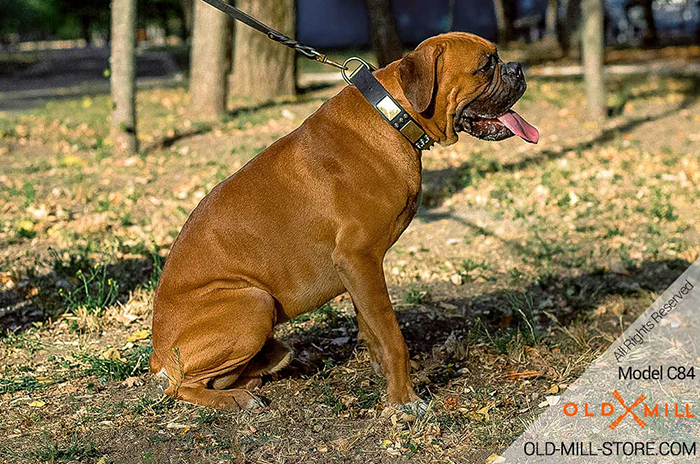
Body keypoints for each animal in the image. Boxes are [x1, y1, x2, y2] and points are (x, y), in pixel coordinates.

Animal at [150, 31, 540, 410]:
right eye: (485, 66)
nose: (518, 68)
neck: (393, 116)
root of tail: (157, 355)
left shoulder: (357, 270)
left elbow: (372, 329)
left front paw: (386, 376)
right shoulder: (358, 258)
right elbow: (392, 335)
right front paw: (404, 400)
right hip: (253, 301)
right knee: (181, 387)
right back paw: (234, 398)